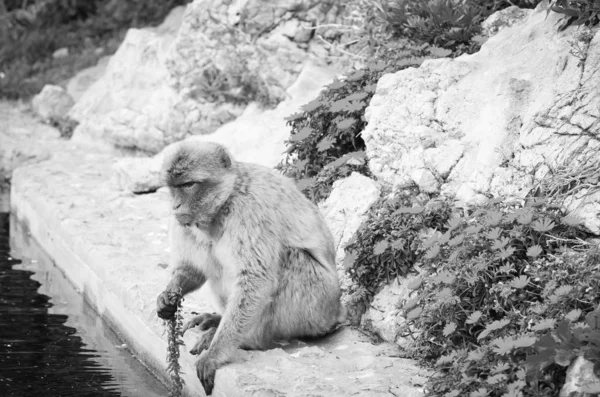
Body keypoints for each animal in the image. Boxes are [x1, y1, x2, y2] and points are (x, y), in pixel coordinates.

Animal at [155, 139, 344, 392]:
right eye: (172, 187)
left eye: (188, 184)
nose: (175, 206)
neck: (224, 203)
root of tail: (336, 311)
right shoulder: (185, 223)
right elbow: (192, 269)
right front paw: (167, 297)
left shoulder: (250, 211)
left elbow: (256, 278)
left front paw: (215, 354)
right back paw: (217, 319)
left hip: (317, 308)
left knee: (288, 258)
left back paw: (247, 340)